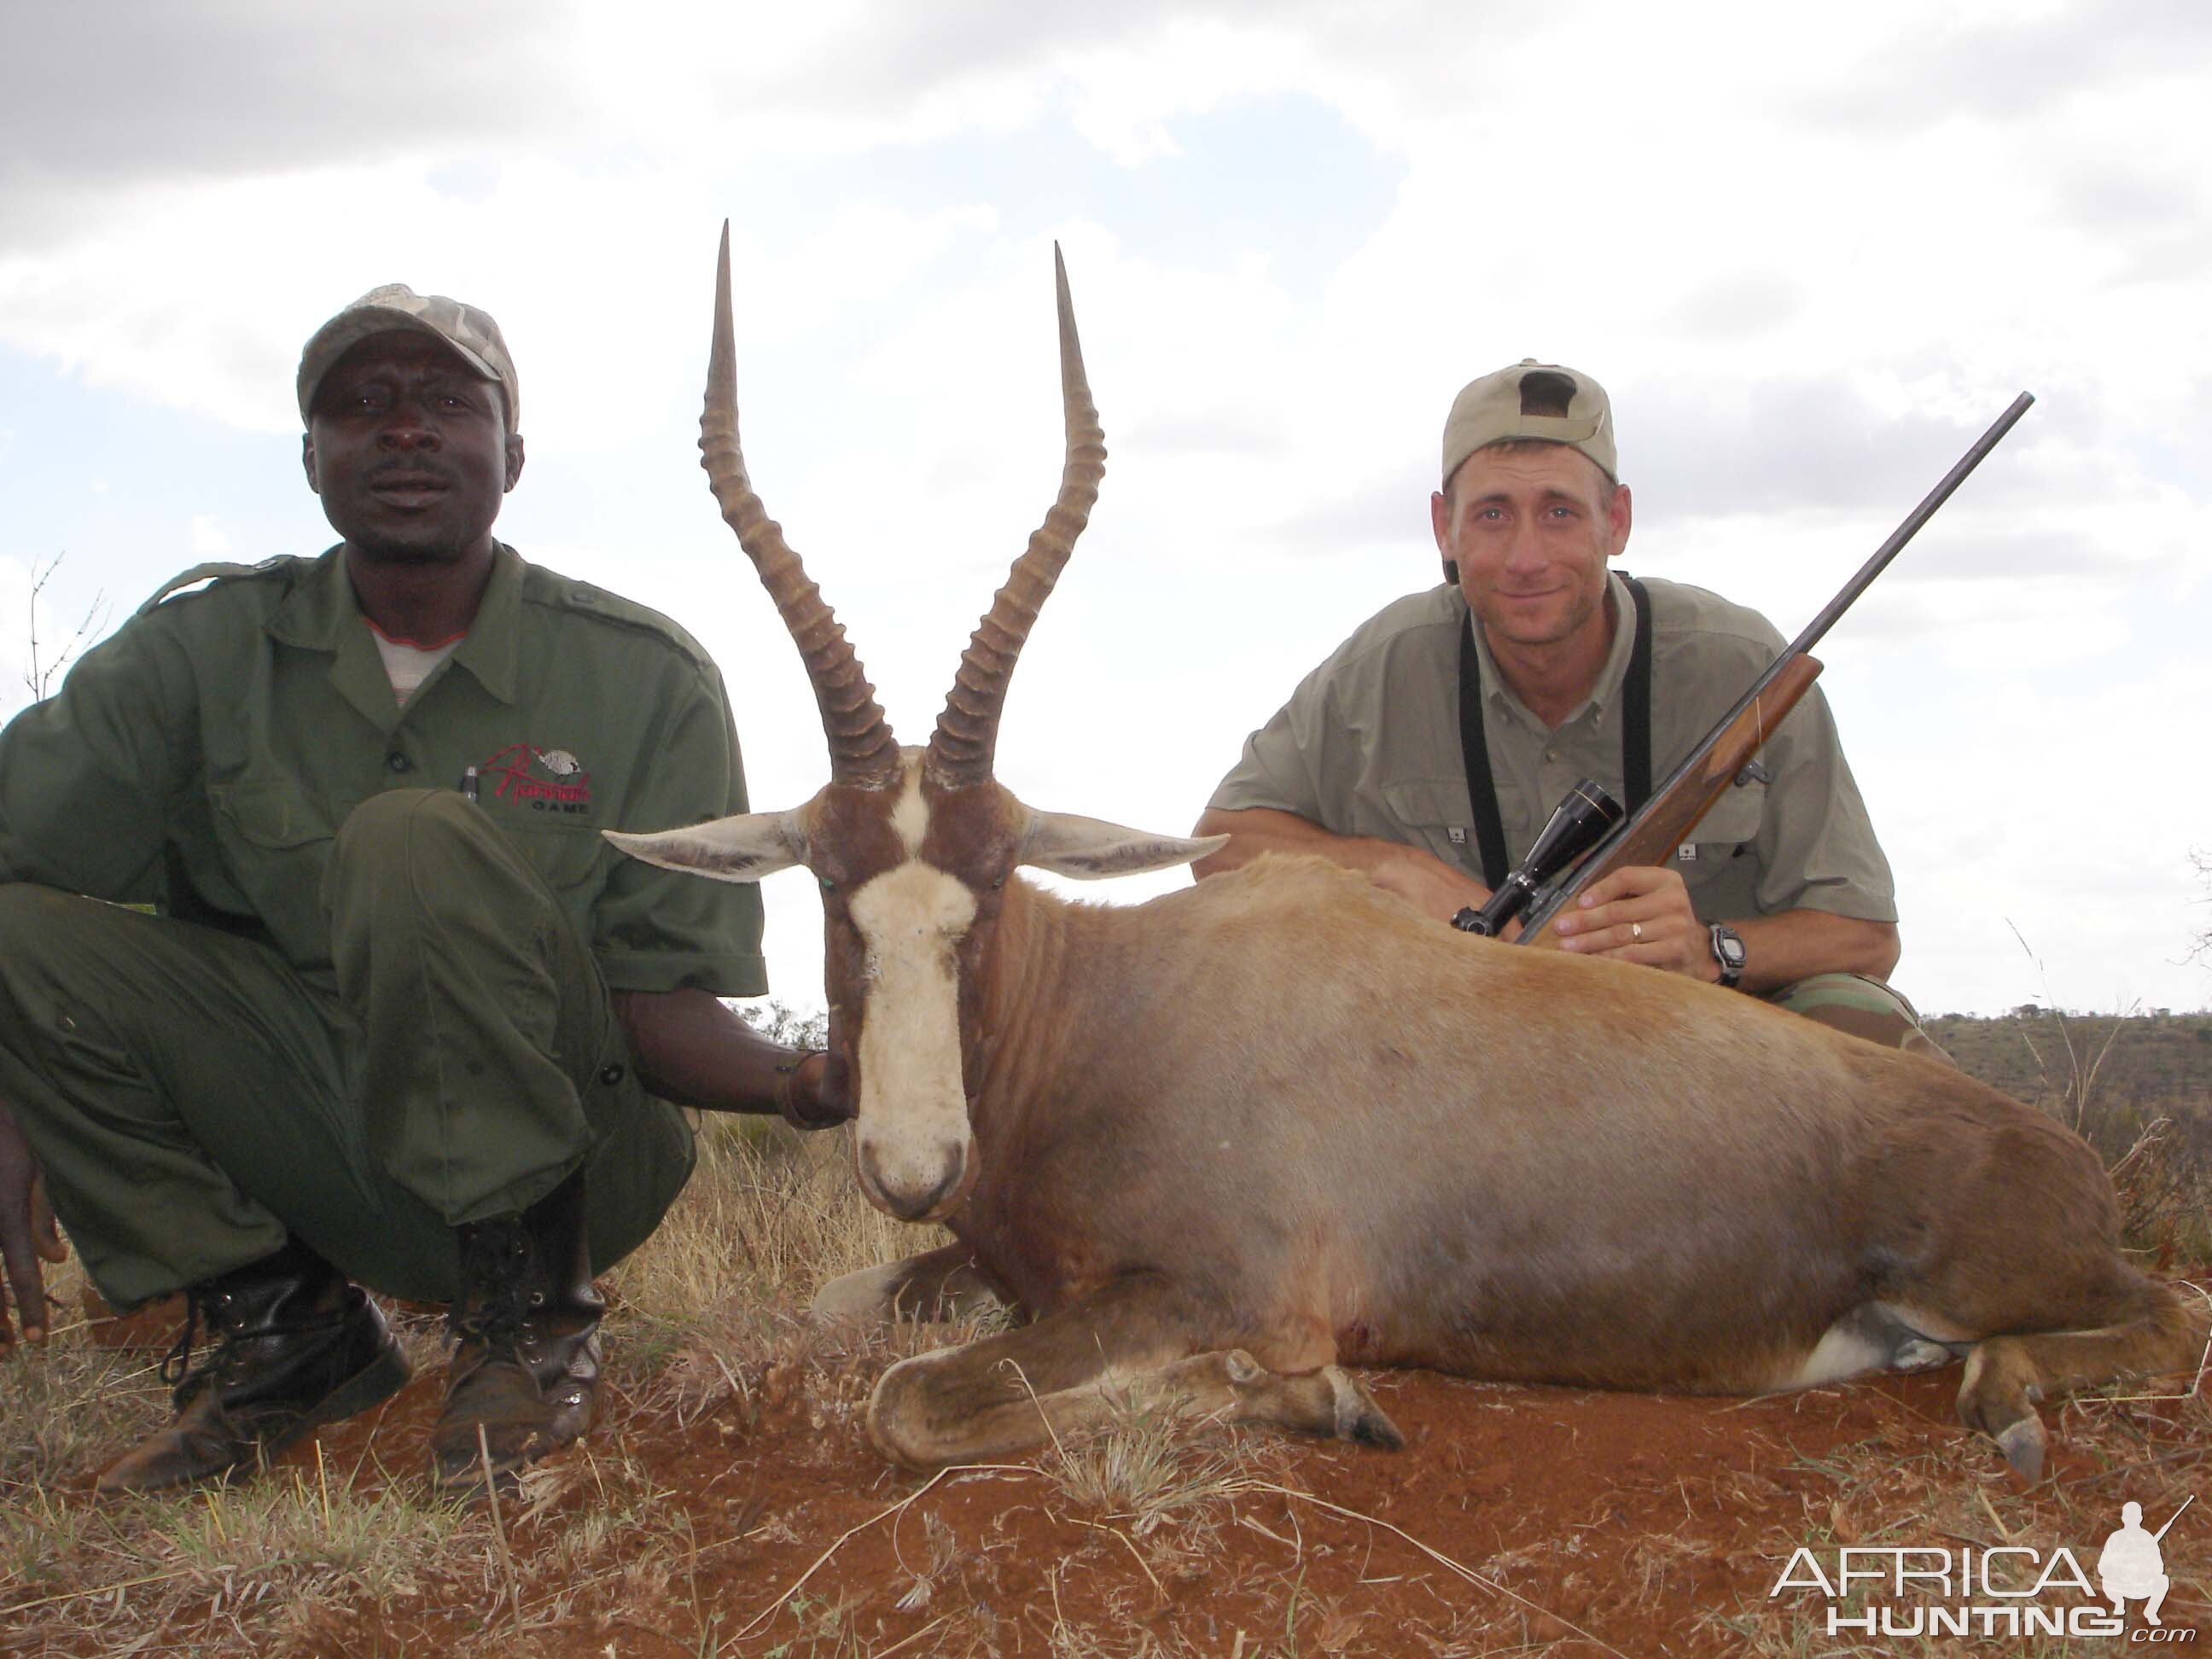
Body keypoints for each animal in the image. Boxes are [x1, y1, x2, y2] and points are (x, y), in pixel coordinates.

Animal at [602, 230, 2194, 1477]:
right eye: (828, 881)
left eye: (990, 886)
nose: (914, 1161)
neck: (1112, 1003)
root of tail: (2055, 1153)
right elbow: (842, 1320)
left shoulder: (1208, 1288)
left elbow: (907, 1403)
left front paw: (1318, 1400)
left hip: (1995, 1273)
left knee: (2168, 1312)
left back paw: (2009, 1397)